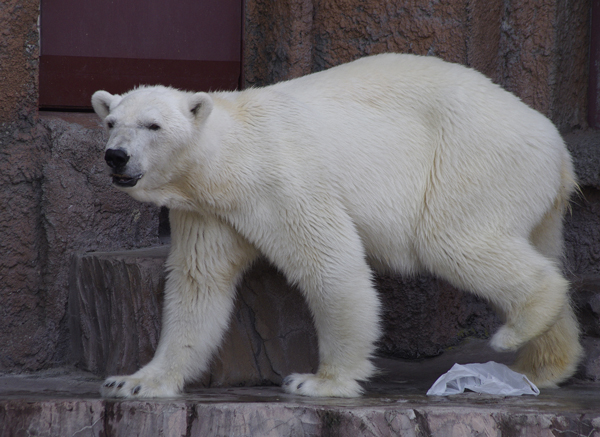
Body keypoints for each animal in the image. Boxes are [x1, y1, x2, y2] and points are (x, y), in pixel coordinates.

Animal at [92, 52, 580, 396]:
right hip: (528, 194)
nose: (116, 156)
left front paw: (320, 381)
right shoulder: (208, 210)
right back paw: (545, 364)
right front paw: (135, 381)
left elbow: (329, 263)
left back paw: (517, 331)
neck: (230, 160)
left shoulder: (282, 183)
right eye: (111, 121)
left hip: (470, 161)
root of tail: (558, 148)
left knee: (452, 240)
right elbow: (198, 284)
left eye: (153, 125)